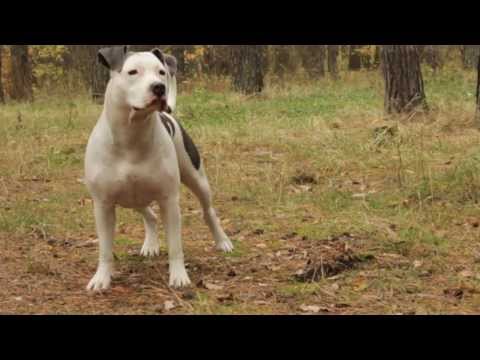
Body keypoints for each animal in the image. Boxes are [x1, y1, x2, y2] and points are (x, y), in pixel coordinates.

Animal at [84, 45, 234, 292]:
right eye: (132, 72)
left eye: (161, 72)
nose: (159, 87)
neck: (131, 136)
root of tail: (167, 114)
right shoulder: (103, 205)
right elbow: (105, 249)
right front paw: (101, 278)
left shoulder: (169, 201)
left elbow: (175, 245)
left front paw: (179, 276)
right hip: (133, 197)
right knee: (150, 216)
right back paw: (150, 245)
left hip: (196, 178)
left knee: (208, 211)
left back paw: (222, 241)